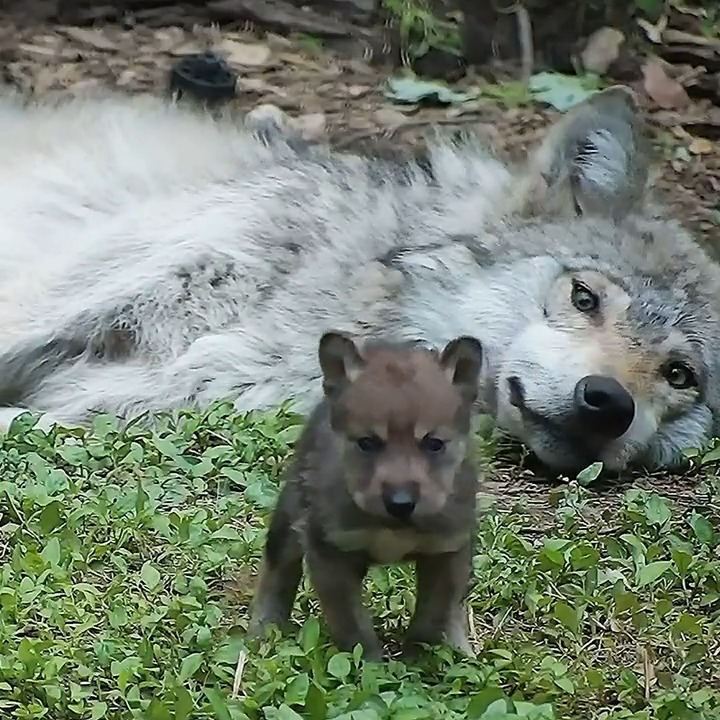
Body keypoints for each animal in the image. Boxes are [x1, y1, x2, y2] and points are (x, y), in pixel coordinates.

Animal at [248, 331, 483, 661]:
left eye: (434, 443)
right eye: (367, 443)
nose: (400, 503)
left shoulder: (446, 550)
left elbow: (432, 616)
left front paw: (417, 659)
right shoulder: (330, 552)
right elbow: (353, 626)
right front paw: (371, 664)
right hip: (288, 517)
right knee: (276, 572)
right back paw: (263, 632)